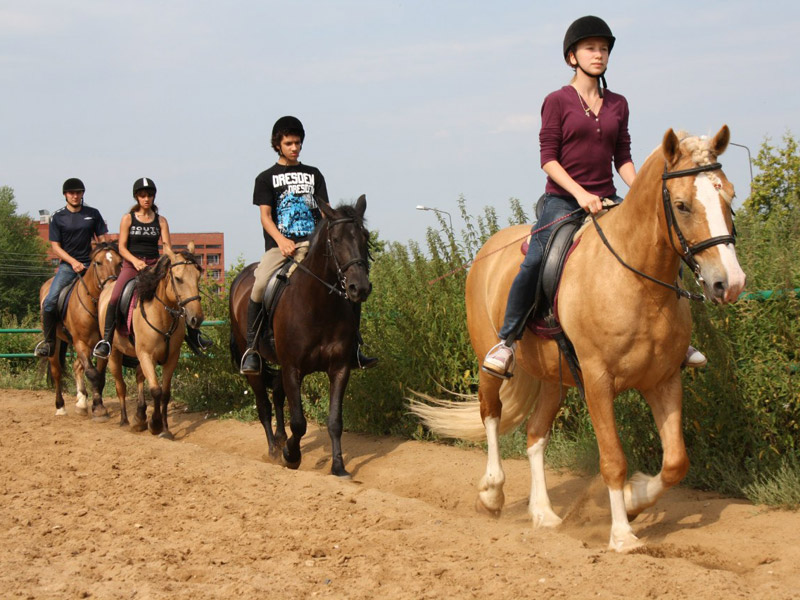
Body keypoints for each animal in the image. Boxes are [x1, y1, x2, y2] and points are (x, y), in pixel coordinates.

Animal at [38, 242, 122, 419]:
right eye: (98, 263)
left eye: (120, 263)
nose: (112, 285)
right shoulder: (80, 342)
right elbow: (92, 373)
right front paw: (98, 408)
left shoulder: (102, 346)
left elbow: (100, 376)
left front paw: (97, 405)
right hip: (55, 342)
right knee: (57, 371)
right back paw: (60, 406)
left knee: (77, 366)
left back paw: (81, 402)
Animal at [98, 244, 204, 440]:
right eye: (178, 279)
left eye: (198, 276)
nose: (196, 319)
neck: (162, 315)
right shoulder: (147, 355)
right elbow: (155, 390)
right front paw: (155, 424)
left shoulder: (171, 358)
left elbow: (165, 393)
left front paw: (165, 429)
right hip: (114, 353)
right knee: (120, 385)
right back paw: (125, 420)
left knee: (140, 377)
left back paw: (140, 417)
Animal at [229, 196, 372, 477]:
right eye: (335, 239)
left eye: (365, 236)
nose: (359, 288)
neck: (318, 306)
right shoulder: (293, 368)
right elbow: (299, 422)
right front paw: (291, 456)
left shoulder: (339, 368)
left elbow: (335, 421)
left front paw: (338, 467)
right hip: (253, 360)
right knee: (264, 405)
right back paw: (274, 449)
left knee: (276, 393)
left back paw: (280, 439)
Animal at [410, 126, 746, 552]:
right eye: (682, 205)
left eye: (729, 196)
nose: (729, 283)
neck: (635, 281)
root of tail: (488, 249)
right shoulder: (598, 381)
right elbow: (613, 460)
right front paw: (622, 534)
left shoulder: (664, 379)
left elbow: (675, 462)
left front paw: (634, 500)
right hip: (490, 362)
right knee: (491, 415)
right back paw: (491, 495)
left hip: (555, 379)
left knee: (535, 435)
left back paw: (544, 514)